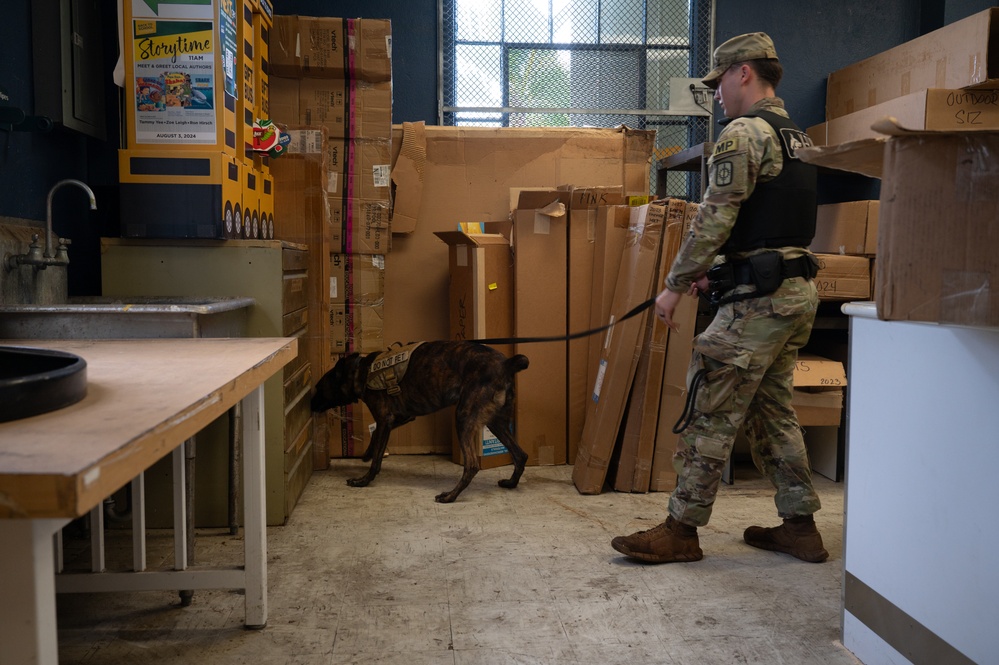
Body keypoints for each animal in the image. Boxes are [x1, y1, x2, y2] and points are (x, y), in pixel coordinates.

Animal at [310, 340, 532, 500]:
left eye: (319, 388)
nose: (310, 404)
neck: (361, 371)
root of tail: (505, 364)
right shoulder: (400, 417)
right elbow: (374, 441)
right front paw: (367, 453)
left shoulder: (384, 419)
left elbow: (376, 460)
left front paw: (364, 480)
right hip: (497, 423)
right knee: (520, 455)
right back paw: (511, 483)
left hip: (464, 418)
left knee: (471, 465)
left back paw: (451, 496)